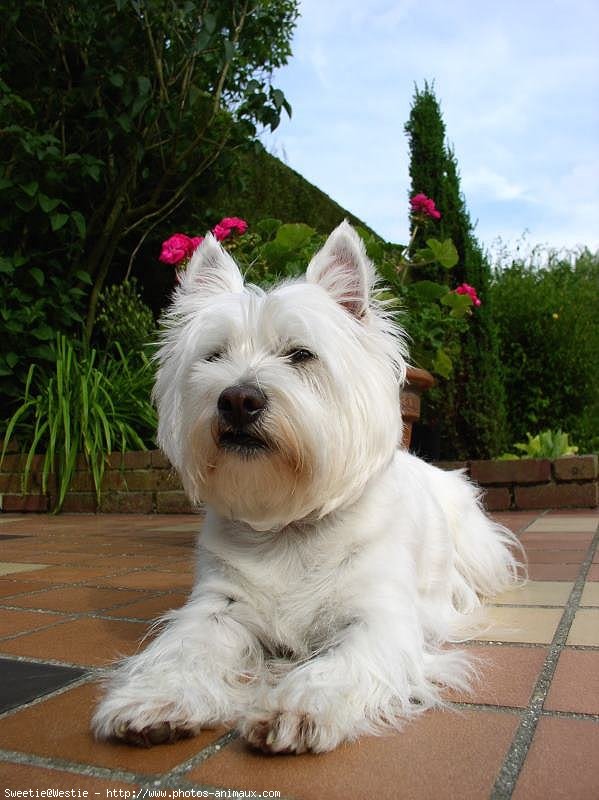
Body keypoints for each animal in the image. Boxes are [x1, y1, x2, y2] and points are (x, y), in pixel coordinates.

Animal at [91, 222, 524, 752]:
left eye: (300, 354)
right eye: (213, 356)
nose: (237, 400)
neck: (289, 526)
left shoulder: (381, 614)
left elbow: (343, 661)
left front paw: (298, 706)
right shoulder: (218, 605)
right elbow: (184, 647)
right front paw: (155, 700)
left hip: (476, 549)